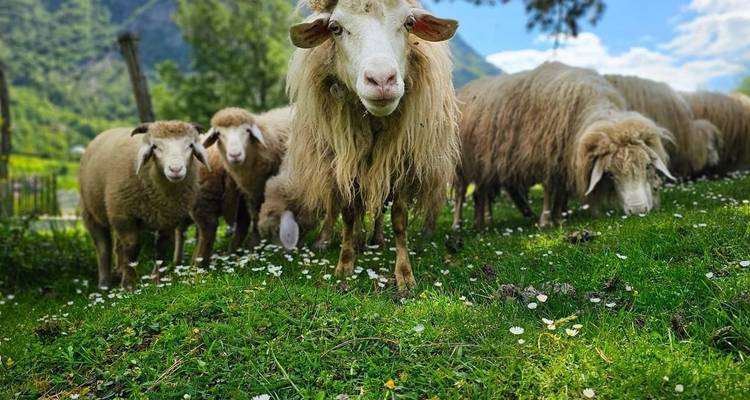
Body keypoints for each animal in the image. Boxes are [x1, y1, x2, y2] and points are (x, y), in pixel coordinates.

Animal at [79, 121, 210, 289]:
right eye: (154, 146)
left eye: (191, 145)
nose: (175, 169)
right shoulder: (124, 215)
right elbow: (132, 247)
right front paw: (128, 285)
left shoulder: (168, 219)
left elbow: (161, 250)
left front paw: (158, 281)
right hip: (92, 212)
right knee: (103, 248)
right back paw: (104, 284)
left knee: (118, 245)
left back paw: (119, 271)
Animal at [199, 106, 291, 262]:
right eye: (218, 133)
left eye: (247, 130)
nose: (235, 155)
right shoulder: (252, 193)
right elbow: (255, 216)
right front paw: (255, 245)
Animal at [286, 0, 460, 291]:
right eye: (335, 28)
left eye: (409, 23)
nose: (381, 80)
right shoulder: (343, 160)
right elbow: (348, 213)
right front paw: (345, 264)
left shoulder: (403, 161)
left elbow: (399, 218)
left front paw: (404, 274)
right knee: (341, 208)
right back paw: (339, 240)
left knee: (379, 209)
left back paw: (376, 239)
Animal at [456, 62, 675, 228]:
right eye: (611, 174)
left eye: (647, 166)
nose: (638, 211)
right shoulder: (547, 155)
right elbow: (549, 189)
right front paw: (546, 220)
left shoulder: (564, 159)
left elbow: (561, 193)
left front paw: (559, 217)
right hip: (461, 164)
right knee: (461, 193)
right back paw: (458, 224)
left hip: (483, 164)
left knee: (481, 193)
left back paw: (483, 223)